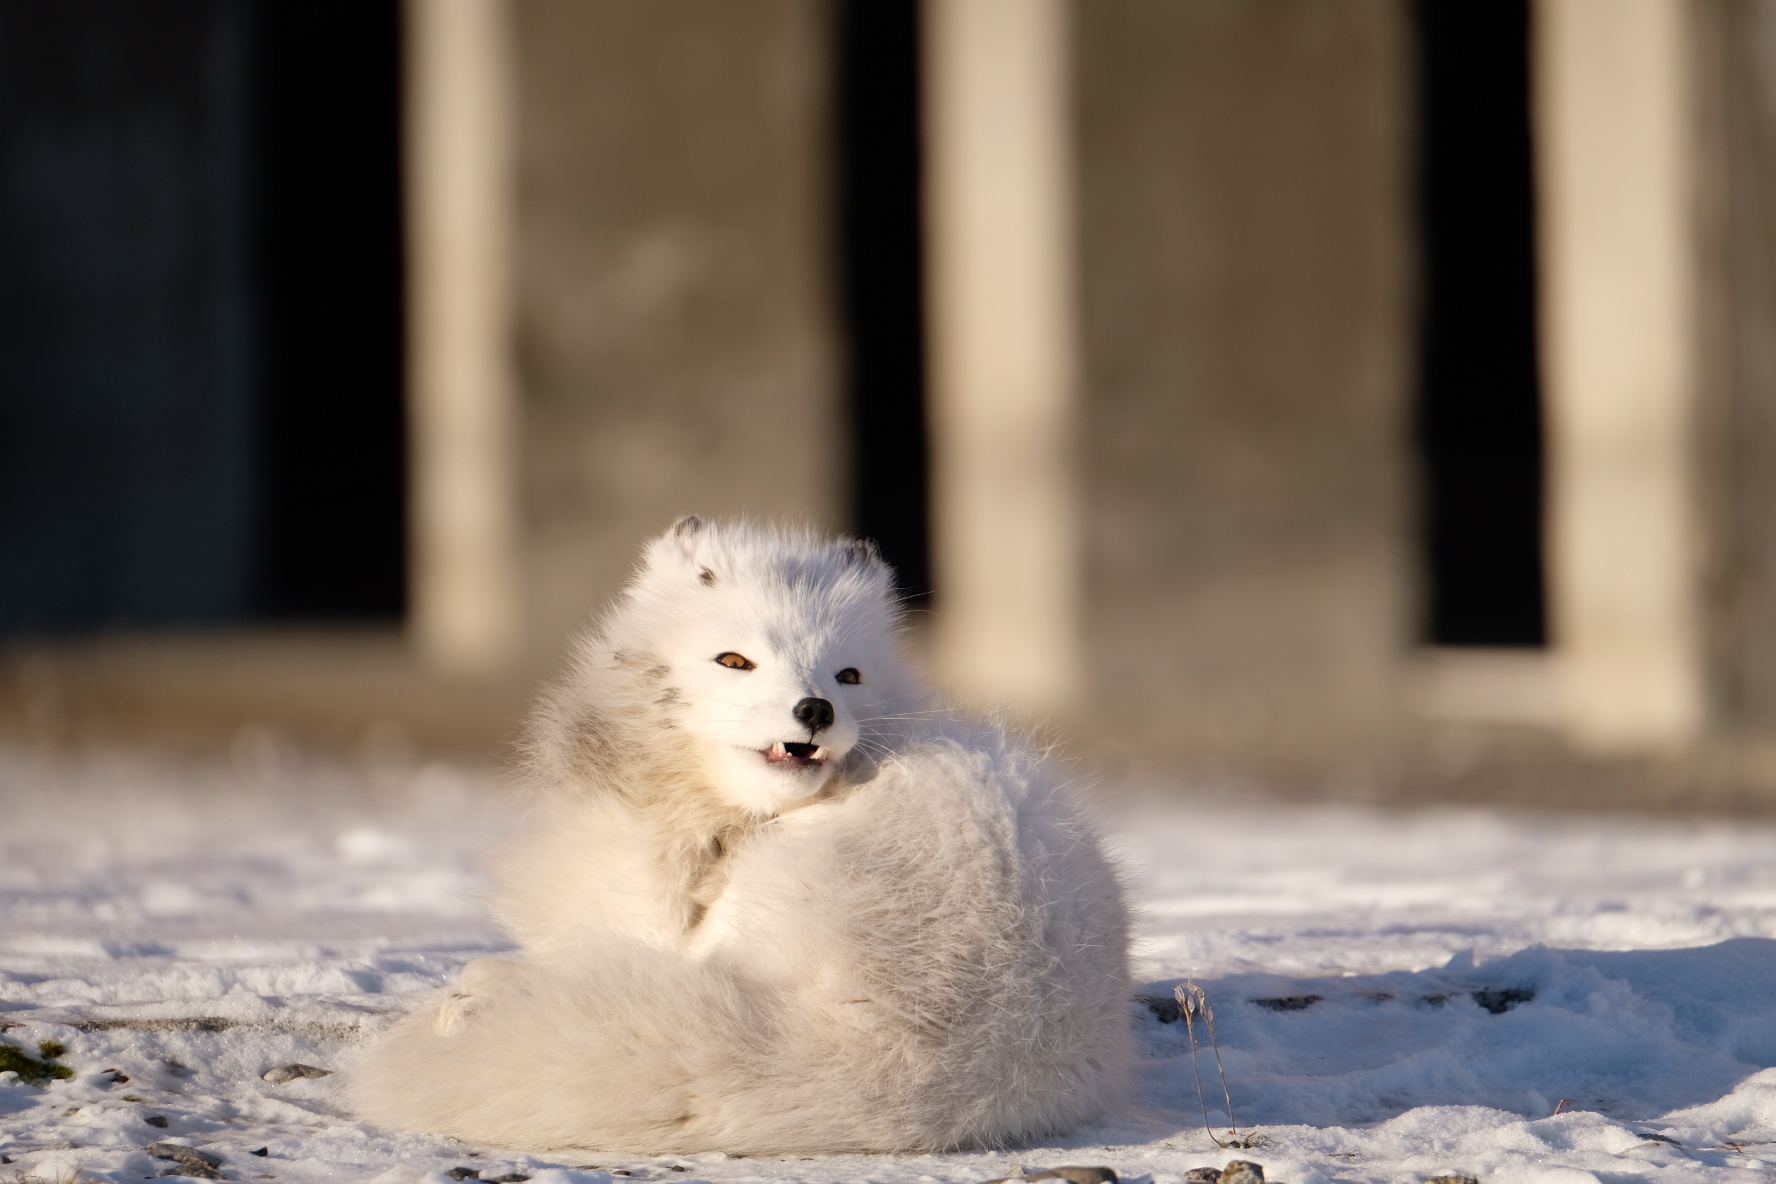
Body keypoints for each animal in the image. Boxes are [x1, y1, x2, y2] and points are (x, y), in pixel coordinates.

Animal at [348, 521, 1129, 1157]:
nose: (815, 709)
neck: (716, 813)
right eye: (734, 661)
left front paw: (484, 985)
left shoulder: (656, 923)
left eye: (848, 675)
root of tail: (933, 1053)